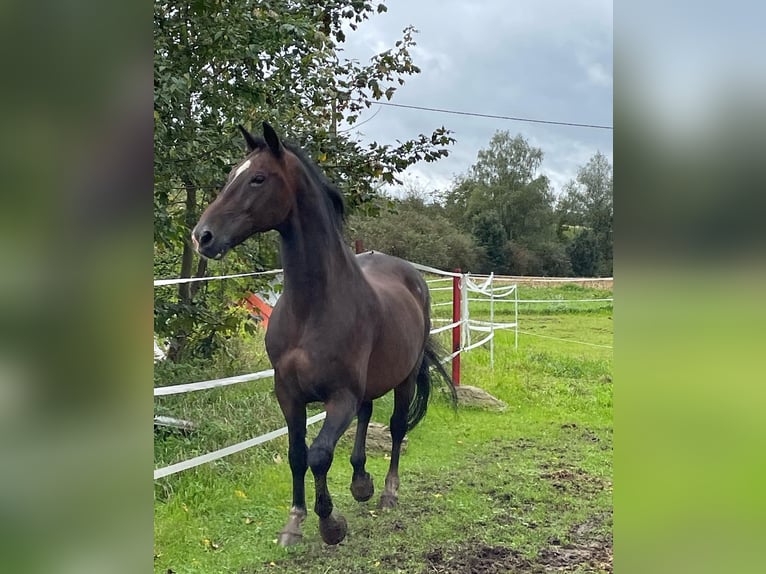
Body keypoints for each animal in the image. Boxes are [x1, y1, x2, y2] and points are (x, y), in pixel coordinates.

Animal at [192, 122, 456, 548]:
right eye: (231, 174)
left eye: (258, 178)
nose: (203, 236)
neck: (312, 308)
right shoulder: (288, 394)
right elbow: (297, 453)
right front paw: (295, 521)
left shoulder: (340, 396)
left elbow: (318, 454)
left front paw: (330, 523)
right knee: (367, 415)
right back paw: (361, 482)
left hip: (403, 379)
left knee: (397, 426)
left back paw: (387, 492)